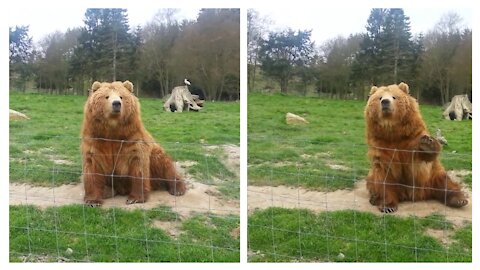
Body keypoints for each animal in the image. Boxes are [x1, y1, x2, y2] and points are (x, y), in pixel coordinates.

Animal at [366, 82, 466, 213]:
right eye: (380, 98)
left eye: (394, 97)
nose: (385, 102)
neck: (392, 131)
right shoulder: (380, 144)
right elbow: (385, 177)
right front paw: (388, 206)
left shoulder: (411, 136)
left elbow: (420, 156)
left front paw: (427, 143)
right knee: (372, 182)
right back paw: (374, 197)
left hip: (433, 176)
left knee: (445, 183)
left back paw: (458, 200)